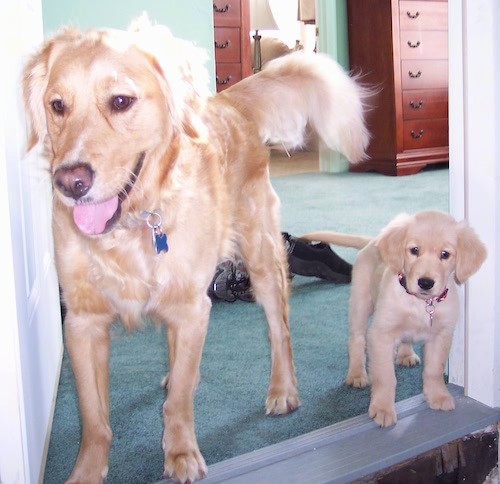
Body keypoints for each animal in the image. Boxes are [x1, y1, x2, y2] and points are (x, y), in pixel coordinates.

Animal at [21, 17, 370, 482]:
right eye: (57, 105)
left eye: (120, 101)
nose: (70, 182)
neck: (134, 224)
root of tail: (229, 99)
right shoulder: (83, 321)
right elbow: (94, 418)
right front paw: (88, 470)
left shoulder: (190, 306)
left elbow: (180, 401)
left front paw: (181, 452)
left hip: (259, 257)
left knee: (279, 330)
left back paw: (283, 389)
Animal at [300, 212, 484, 428]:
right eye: (414, 250)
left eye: (445, 254)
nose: (425, 283)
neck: (420, 303)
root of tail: (374, 240)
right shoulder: (381, 334)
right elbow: (386, 376)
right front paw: (382, 408)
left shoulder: (441, 334)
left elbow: (433, 370)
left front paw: (437, 396)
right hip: (361, 301)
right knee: (356, 339)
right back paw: (356, 374)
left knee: (404, 337)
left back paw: (405, 354)